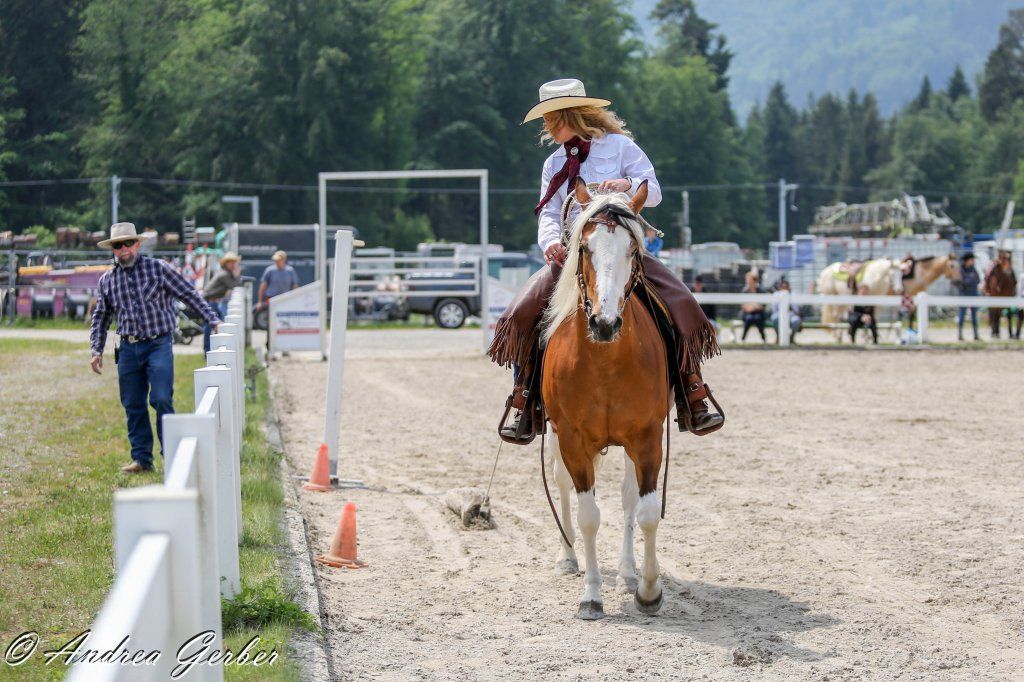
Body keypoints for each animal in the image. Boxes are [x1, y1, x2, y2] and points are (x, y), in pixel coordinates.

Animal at [541, 179, 670, 620]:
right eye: (584, 248)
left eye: (633, 250)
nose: (605, 322)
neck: (606, 362)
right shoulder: (572, 440)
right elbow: (588, 516)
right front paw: (592, 596)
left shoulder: (647, 438)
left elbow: (645, 513)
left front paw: (648, 590)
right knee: (563, 485)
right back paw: (566, 558)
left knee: (629, 497)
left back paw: (629, 572)